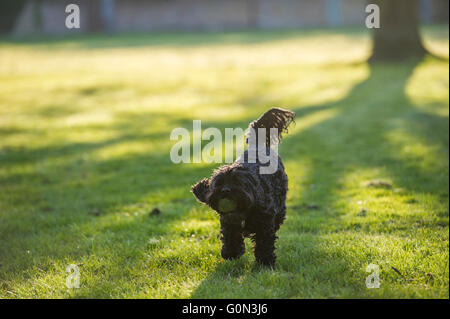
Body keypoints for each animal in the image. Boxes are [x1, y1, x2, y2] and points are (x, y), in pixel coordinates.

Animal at [191, 107, 294, 268]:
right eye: (219, 183)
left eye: (237, 182)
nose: (226, 191)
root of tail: (257, 146)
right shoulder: (228, 221)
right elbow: (231, 236)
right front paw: (231, 252)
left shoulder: (265, 222)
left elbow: (264, 241)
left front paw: (265, 261)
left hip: (280, 206)